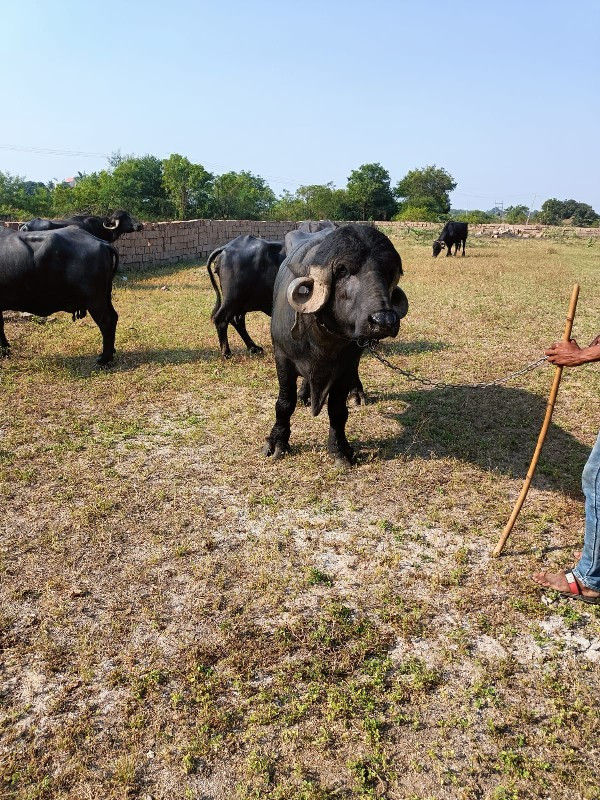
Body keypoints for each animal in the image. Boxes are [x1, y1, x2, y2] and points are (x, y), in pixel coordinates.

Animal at [264, 223, 408, 468]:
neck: (322, 339)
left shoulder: (346, 365)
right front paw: (277, 443)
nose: (383, 321)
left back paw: (357, 394)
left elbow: (337, 409)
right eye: (342, 270)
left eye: (389, 271)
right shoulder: (282, 357)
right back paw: (305, 394)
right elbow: (284, 402)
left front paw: (340, 449)